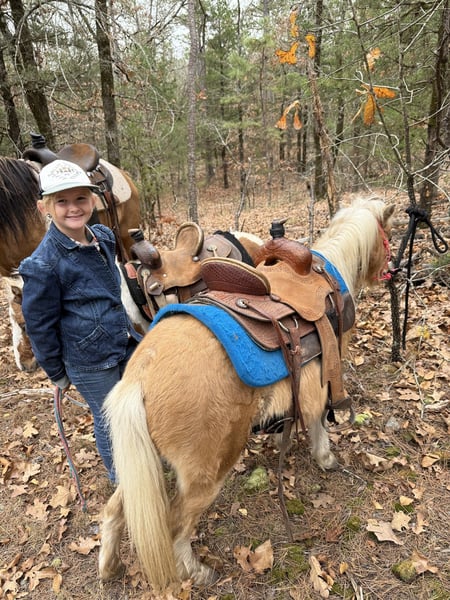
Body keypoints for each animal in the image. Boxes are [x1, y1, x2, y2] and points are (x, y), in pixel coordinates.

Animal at [98, 197, 395, 591]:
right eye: (387, 237)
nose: (391, 270)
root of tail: (139, 376)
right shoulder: (325, 377)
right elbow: (319, 420)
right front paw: (325, 457)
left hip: (144, 463)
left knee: (114, 510)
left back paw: (108, 566)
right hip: (206, 475)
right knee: (176, 528)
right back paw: (197, 572)